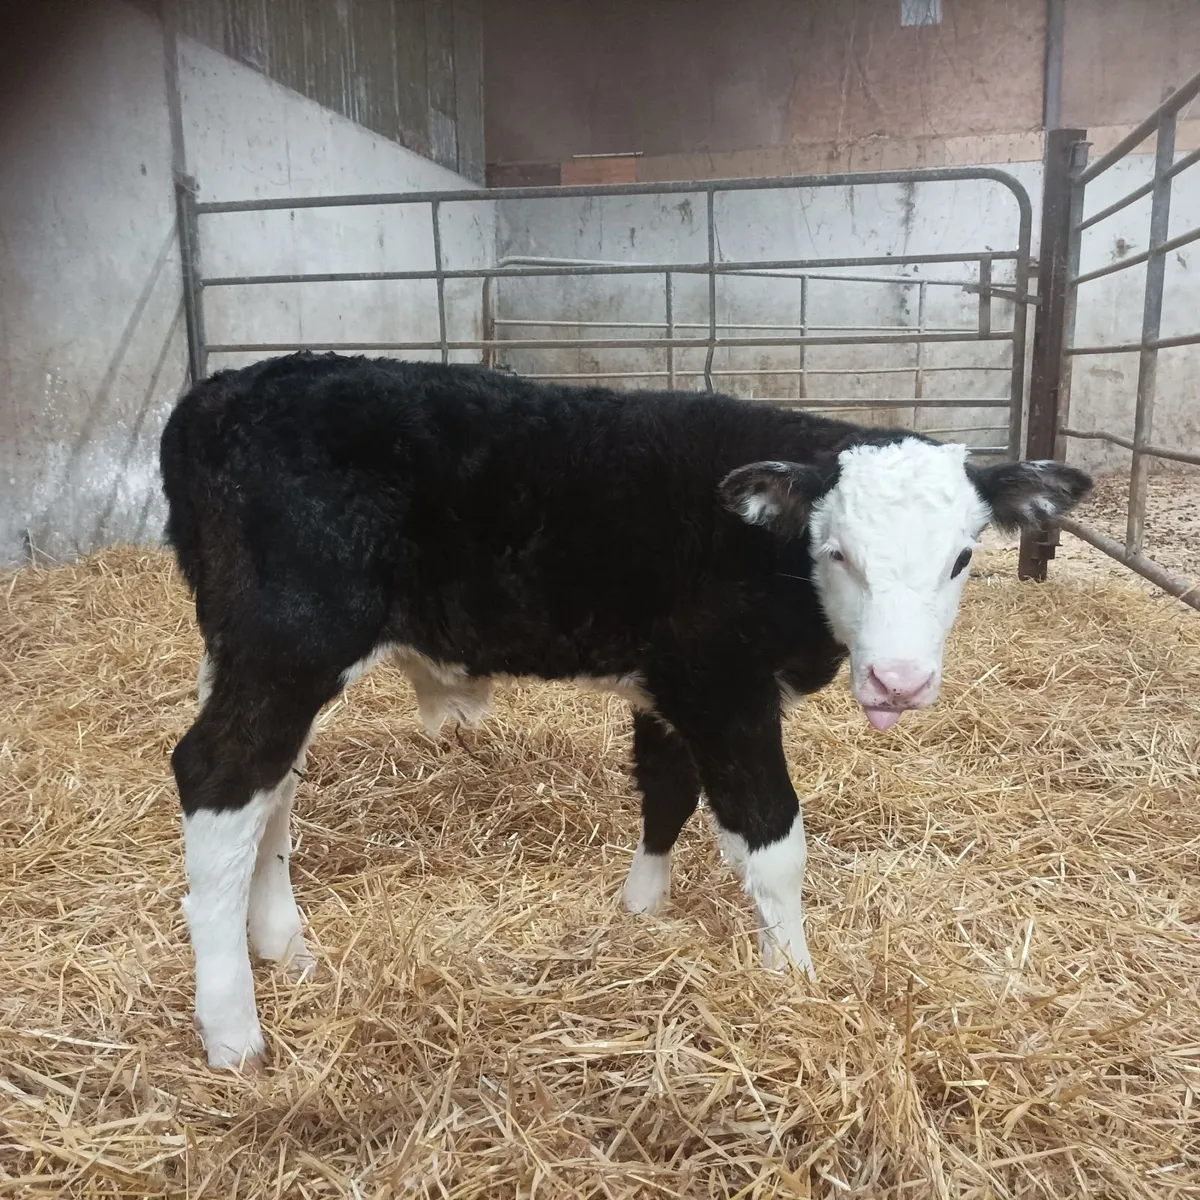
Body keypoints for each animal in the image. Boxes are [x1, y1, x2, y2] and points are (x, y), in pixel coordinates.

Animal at [159, 352, 1091, 1069]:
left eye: (962, 559)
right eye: (837, 553)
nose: (900, 681)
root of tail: (220, 392)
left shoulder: (669, 688)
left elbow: (665, 792)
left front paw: (641, 910)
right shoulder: (724, 688)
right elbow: (772, 839)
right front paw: (794, 979)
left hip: (249, 656)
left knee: (271, 793)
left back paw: (284, 947)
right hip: (292, 643)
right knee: (217, 779)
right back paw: (234, 1033)